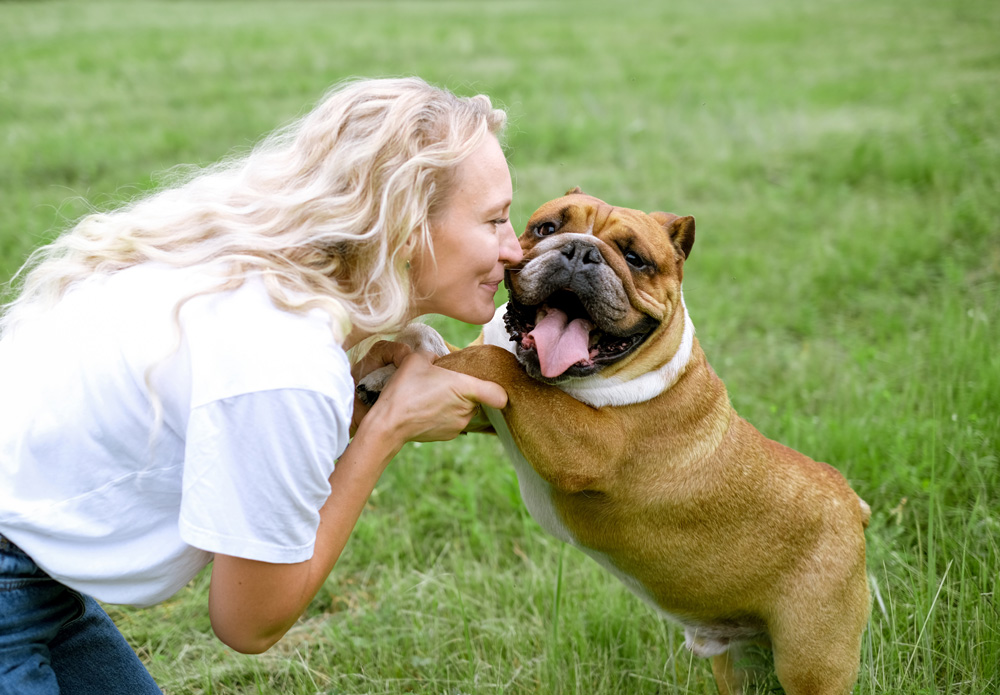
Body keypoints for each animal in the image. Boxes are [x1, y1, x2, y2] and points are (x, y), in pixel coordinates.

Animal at [358, 188, 868, 692]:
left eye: (635, 258)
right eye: (546, 228)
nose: (581, 251)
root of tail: (853, 506)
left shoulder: (584, 446)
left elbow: (491, 360)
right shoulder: (491, 407)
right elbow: (440, 345)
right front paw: (389, 371)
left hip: (811, 662)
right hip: (741, 665)